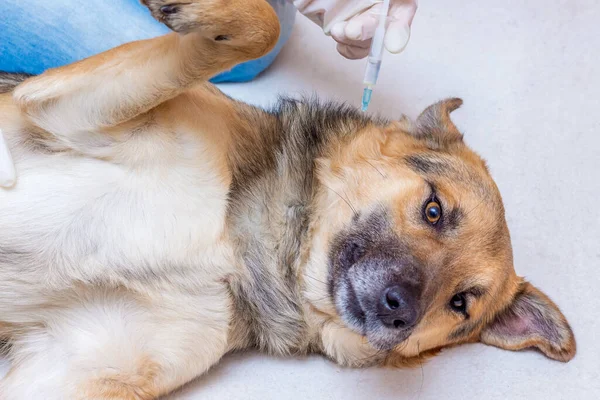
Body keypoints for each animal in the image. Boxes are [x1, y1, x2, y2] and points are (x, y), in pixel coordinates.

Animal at [0, 0, 576, 400]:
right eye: (434, 210)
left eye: (460, 304)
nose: (400, 312)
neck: (236, 249)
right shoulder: (62, 110)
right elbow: (261, 27)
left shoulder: (69, 370)